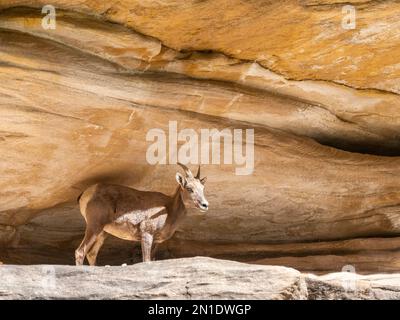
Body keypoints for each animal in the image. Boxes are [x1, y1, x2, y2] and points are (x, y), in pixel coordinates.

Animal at [74, 162, 209, 264]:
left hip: (102, 233)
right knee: (80, 252)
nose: (205, 205)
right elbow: (146, 260)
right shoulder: (146, 235)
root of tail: (85, 194)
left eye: (202, 188)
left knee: (91, 254)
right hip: (94, 226)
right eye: (189, 188)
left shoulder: (156, 242)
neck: (169, 210)